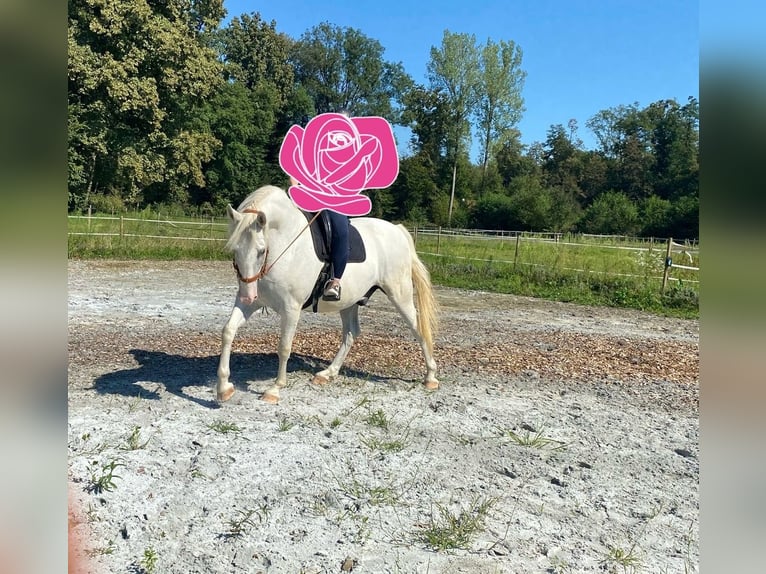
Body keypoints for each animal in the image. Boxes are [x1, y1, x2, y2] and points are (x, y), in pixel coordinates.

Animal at [216, 184, 444, 404]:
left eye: (261, 251)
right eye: (235, 250)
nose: (247, 294)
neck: (287, 246)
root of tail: (397, 230)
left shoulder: (291, 309)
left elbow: (284, 347)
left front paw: (275, 389)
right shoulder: (251, 303)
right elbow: (228, 331)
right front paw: (224, 388)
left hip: (399, 294)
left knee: (418, 328)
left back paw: (431, 377)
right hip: (349, 301)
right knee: (351, 333)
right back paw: (328, 373)